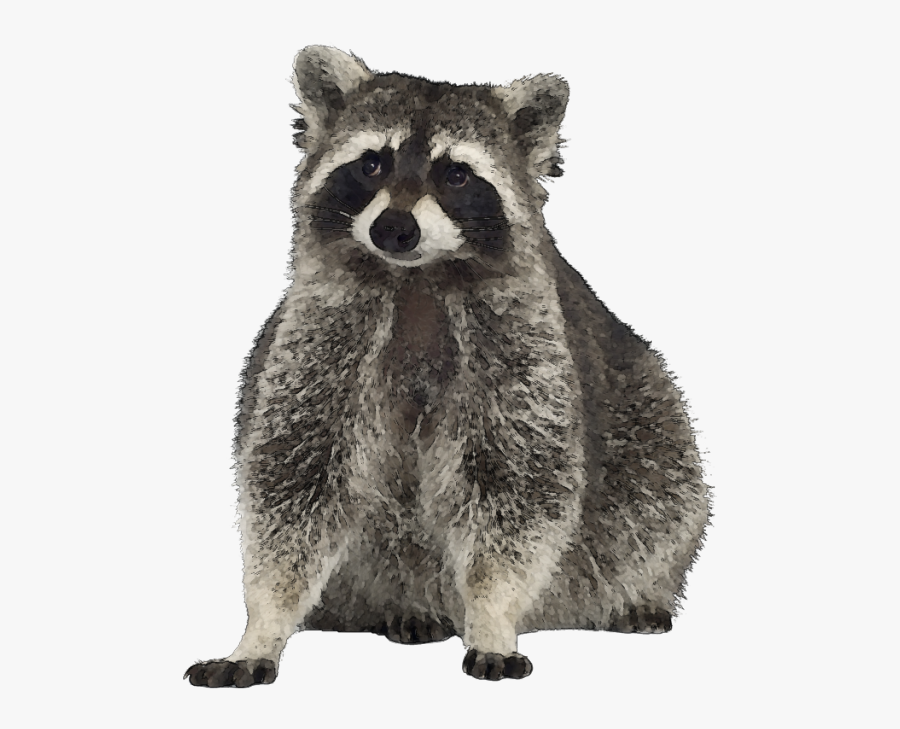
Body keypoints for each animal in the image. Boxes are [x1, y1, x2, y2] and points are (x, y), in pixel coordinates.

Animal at [184, 46, 709, 686]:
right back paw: (404, 609)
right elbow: (295, 479)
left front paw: (491, 614)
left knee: (666, 488)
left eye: (455, 174)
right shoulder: (325, 334)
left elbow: (518, 486)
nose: (394, 228)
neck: (415, 278)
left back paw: (640, 592)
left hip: (653, 420)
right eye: (372, 165)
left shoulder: (520, 344)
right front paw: (262, 625)